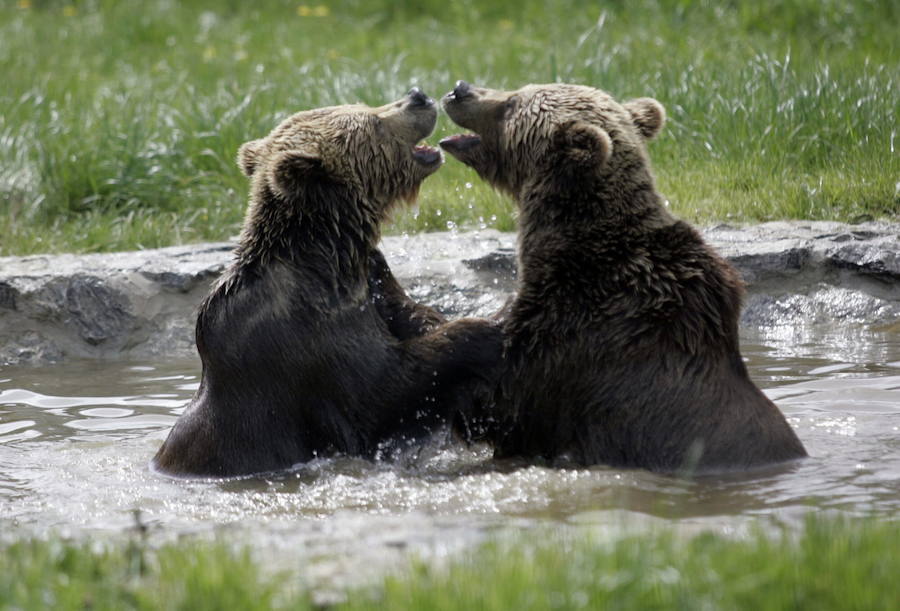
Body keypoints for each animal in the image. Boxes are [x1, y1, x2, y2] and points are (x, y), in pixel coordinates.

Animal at [152, 91, 502, 480]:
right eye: (373, 122)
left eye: (365, 106)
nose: (418, 96)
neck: (330, 259)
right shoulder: (305, 338)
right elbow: (383, 391)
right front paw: (487, 328)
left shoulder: (370, 286)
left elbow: (412, 316)